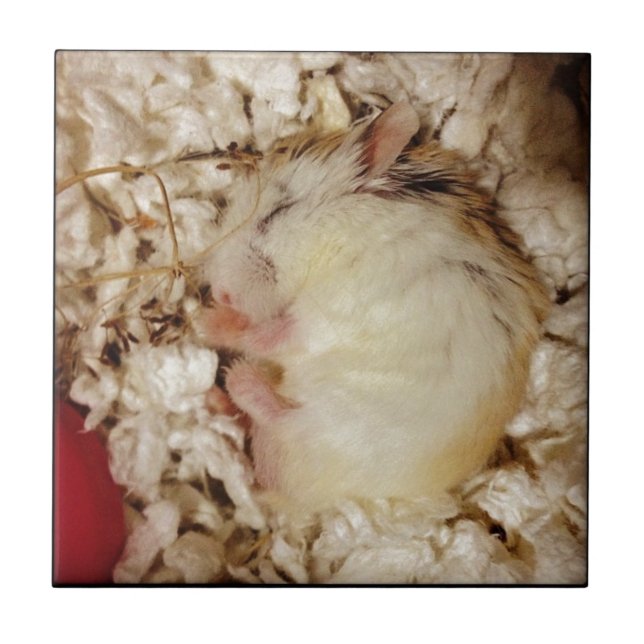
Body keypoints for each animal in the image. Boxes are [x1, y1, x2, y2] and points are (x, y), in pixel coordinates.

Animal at [199, 102, 549, 514]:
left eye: (276, 213)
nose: (219, 293)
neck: (346, 235)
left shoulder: (331, 310)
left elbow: (266, 336)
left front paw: (206, 321)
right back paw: (217, 397)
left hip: (337, 418)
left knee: (283, 412)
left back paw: (237, 376)